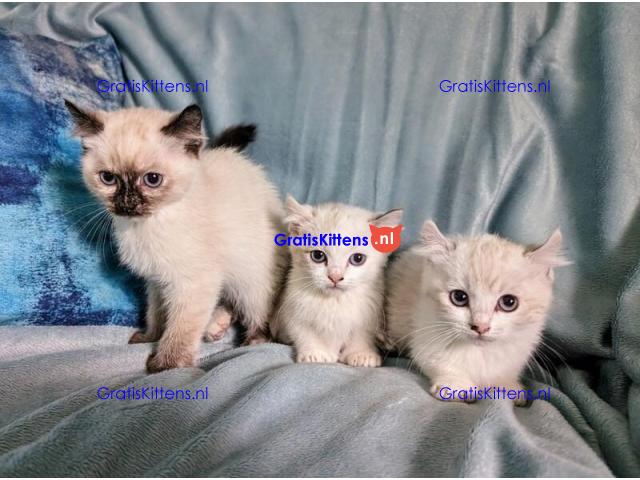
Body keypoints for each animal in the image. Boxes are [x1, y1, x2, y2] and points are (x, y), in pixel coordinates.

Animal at [268, 195, 400, 368]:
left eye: (358, 258)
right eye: (317, 256)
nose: (335, 277)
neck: (335, 302)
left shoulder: (369, 314)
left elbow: (361, 334)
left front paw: (361, 353)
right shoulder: (290, 308)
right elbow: (302, 330)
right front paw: (315, 352)